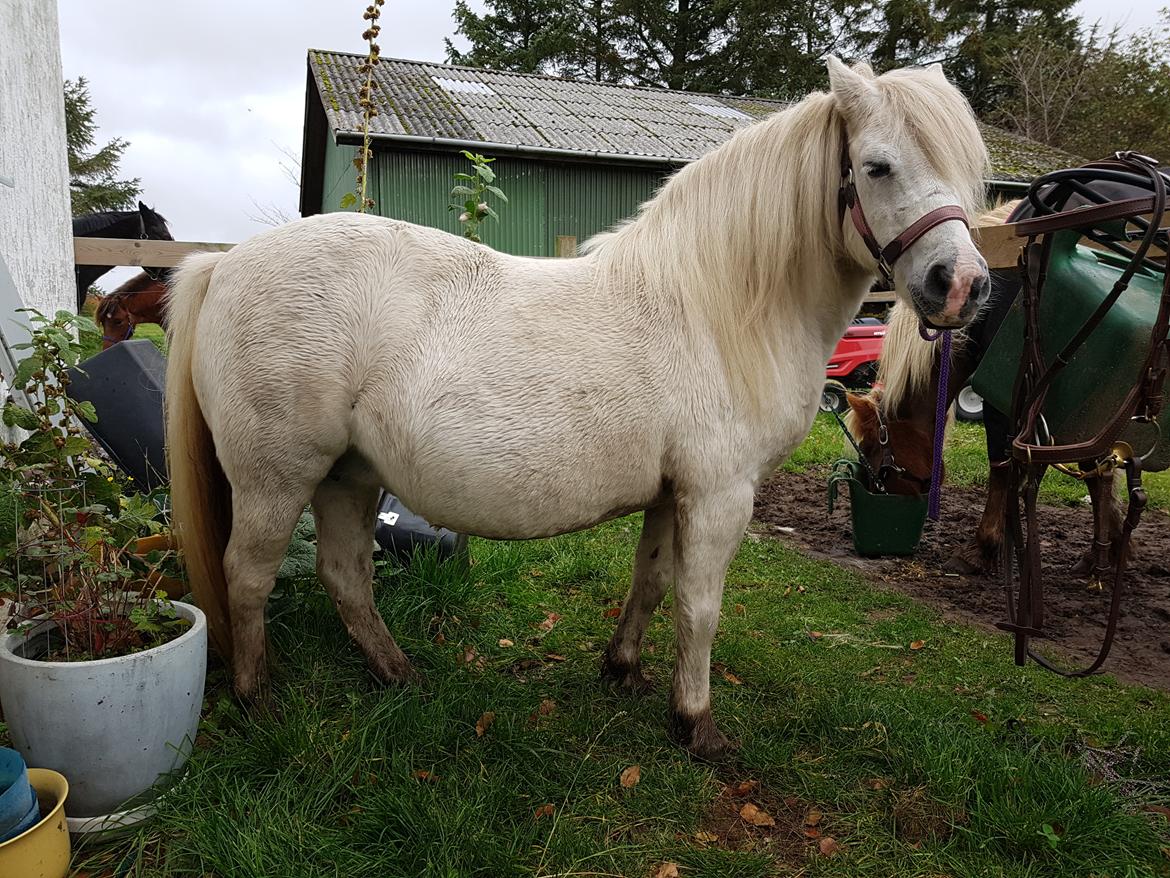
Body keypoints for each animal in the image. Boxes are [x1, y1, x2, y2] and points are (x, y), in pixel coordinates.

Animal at [164, 58, 987, 758]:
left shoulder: (672, 494)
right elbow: (700, 607)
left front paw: (623, 669)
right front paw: (696, 726)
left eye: (970, 174)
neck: (715, 306)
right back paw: (258, 700)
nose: (962, 285)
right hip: (278, 479)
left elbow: (651, 583)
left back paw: (398, 673)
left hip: (349, 475)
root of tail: (223, 265)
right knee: (248, 577)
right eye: (877, 165)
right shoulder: (718, 495)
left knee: (344, 575)